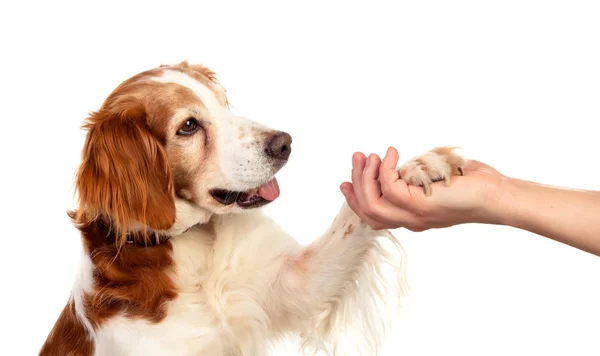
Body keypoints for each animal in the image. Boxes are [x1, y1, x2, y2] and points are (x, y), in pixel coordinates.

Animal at [39, 61, 466, 356]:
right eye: (188, 126)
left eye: (224, 103)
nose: (284, 142)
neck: (197, 246)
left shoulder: (296, 282)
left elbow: (352, 216)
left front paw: (417, 167)